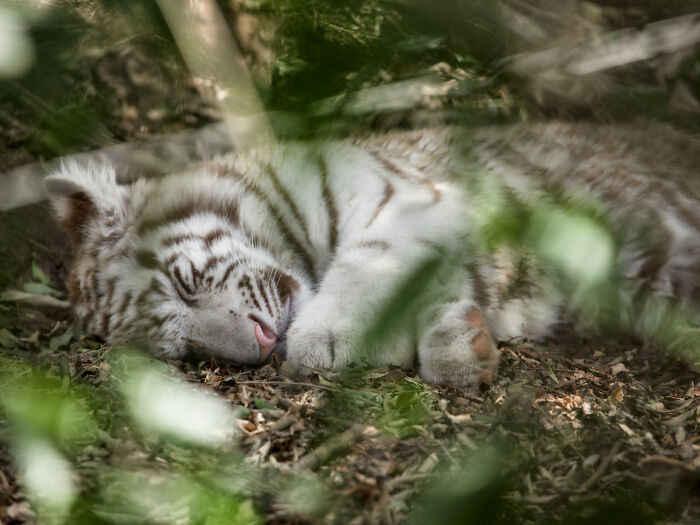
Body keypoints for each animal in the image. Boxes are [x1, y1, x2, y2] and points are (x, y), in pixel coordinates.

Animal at [45, 122, 700, 389]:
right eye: (183, 351)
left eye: (185, 283)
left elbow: (369, 260)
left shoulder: (414, 200)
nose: (262, 347)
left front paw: (323, 342)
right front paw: (463, 343)